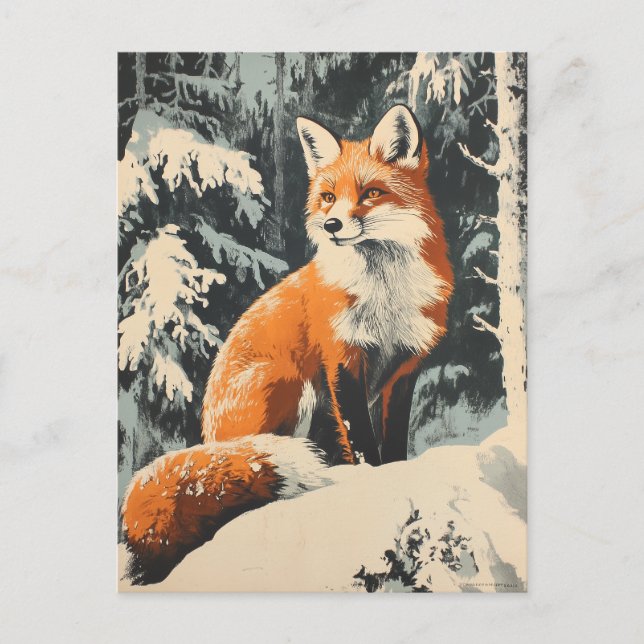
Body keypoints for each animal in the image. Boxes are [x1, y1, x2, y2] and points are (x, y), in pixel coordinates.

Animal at [121, 104, 454, 584]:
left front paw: (393, 475)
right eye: (329, 197)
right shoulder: (342, 361)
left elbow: (392, 442)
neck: (384, 295)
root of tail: (208, 435)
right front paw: (369, 481)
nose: (332, 225)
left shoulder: (404, 368)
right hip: (290, 387)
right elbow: (363, 442)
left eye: (371, 193)